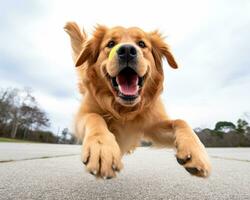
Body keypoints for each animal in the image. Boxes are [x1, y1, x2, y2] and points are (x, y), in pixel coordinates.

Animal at [64, 22, 211, 180]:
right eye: (110, 44)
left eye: (141, 44)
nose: (127, 50)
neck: (125, 110)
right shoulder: (83, 115)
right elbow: (94, 117)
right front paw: (101, 148)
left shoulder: (153, 126)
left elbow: (180, 121)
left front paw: (197, 153)